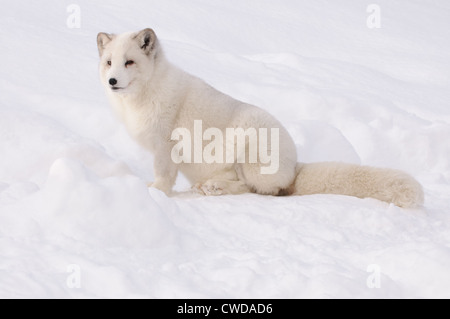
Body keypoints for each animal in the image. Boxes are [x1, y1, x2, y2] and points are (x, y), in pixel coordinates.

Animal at [96, 28, 424, 209]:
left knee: (258, 190)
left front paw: (155, 192)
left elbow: (163, 176)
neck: (144, 95)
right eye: (109, 62)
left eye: (129, 62)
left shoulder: (167, 146)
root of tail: (294, 166)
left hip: (248, 145)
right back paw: (207, 186)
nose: (112, 81)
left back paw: (216, 189)